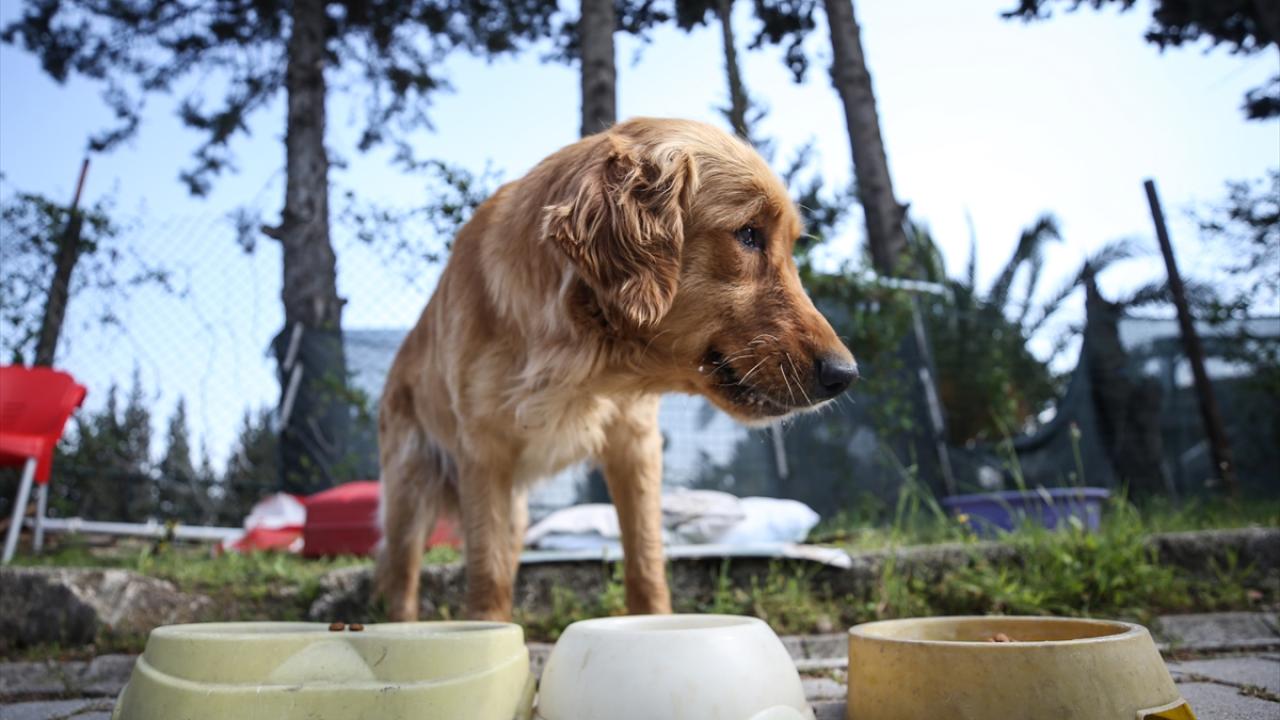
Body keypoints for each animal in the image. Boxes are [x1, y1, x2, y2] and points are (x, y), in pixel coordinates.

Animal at [375, 118, 857, 621]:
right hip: (410, 493)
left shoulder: (635, 442)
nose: (845, 374)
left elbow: (645, 559)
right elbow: (487, 577)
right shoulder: (483, 453)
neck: (581, 358)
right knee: (401, 577)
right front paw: (487, 635)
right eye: (748, 234)